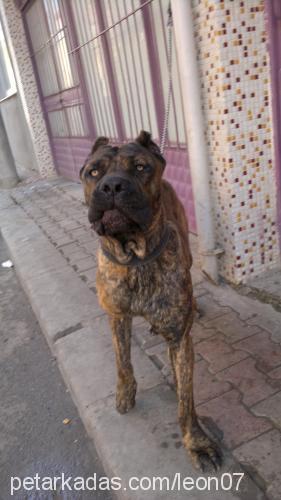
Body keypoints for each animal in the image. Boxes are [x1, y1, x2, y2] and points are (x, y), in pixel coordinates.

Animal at [79, 131, 221, 470]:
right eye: (94, 171)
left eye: (141, 167)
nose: (112, 186)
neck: (135, 256)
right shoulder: (116, 315)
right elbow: (122, 361)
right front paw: (124, 394)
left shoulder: (180, 340)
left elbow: (185, 400)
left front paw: (196, 443)